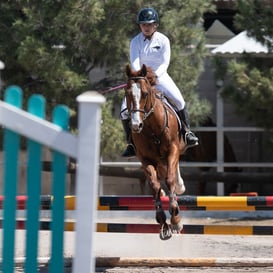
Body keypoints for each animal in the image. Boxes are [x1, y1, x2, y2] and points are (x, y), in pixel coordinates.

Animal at [124, 63, 186, 238]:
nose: (135, 126)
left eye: (145, 93)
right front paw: (162, 219)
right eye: (127, 93)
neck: (152, 128)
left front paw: (175, 219)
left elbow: (170, 179)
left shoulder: (173, 150)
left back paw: (179, 187)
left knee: (173, 175)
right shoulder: (145, 159)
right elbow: (154, 185)